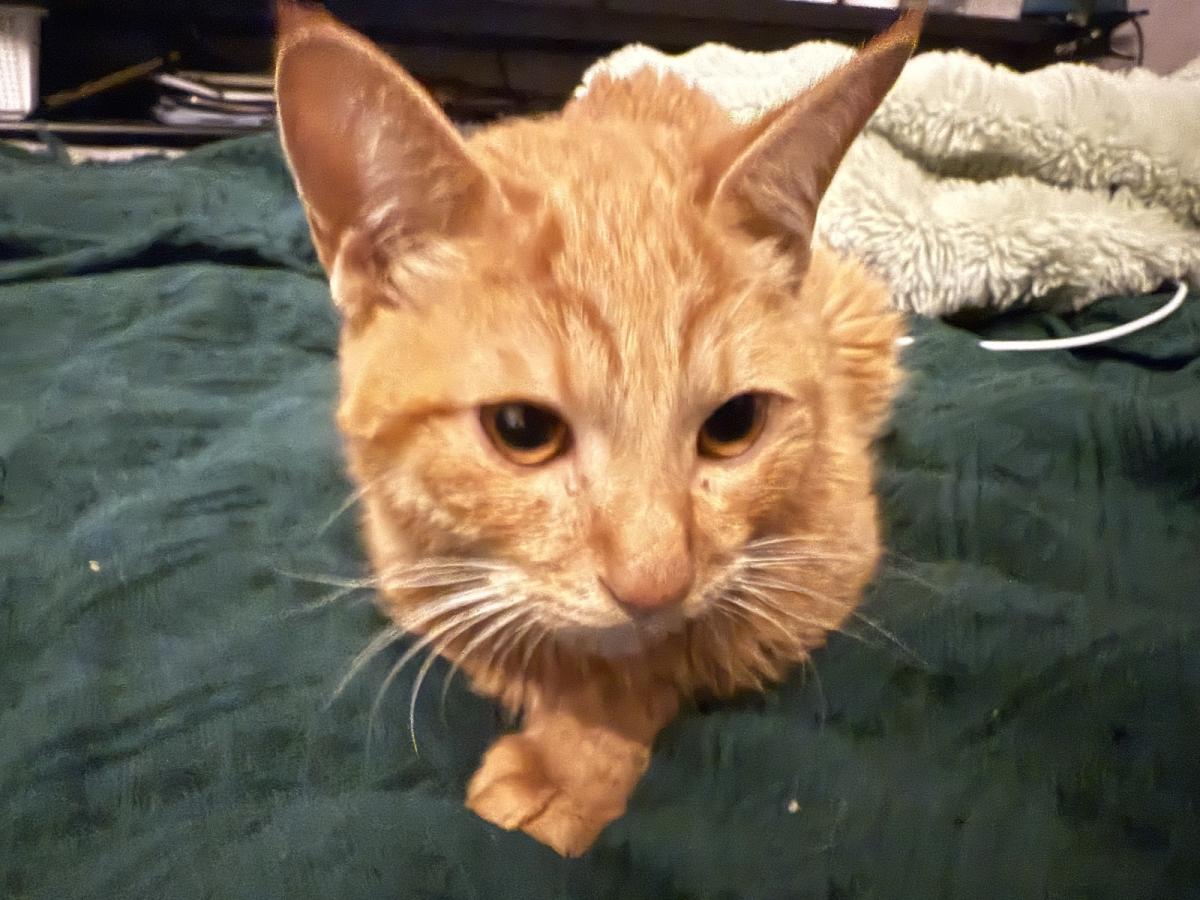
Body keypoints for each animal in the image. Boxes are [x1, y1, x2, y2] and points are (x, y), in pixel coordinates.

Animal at [275, 0, 922, 857]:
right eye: (522, 429)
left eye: (734, 424)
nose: (655, 585)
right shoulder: (414, 573)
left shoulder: (826, 559)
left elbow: (680, 651)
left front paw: (573, 762)